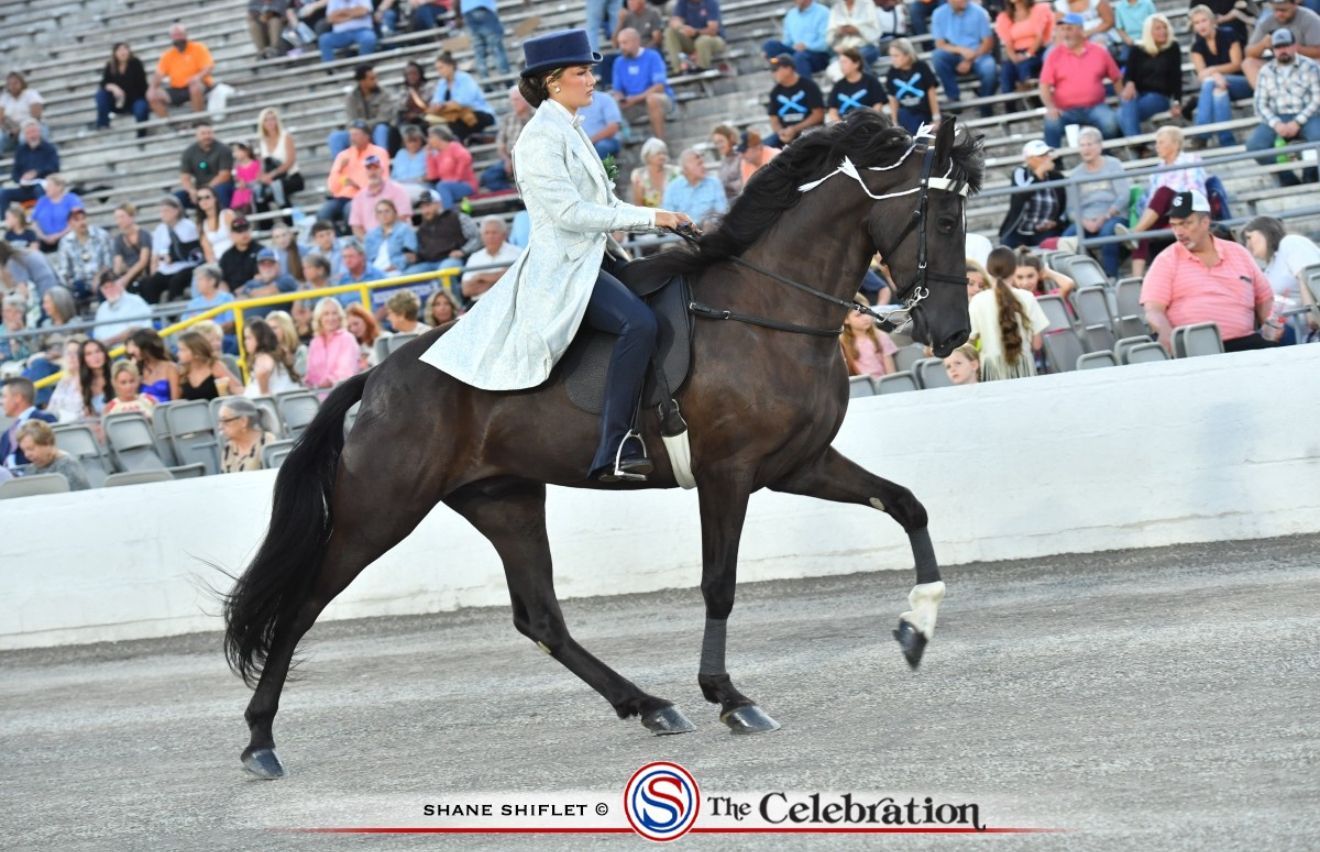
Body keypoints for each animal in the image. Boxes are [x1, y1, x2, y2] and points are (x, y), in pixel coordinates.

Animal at [224, 111, 984, 779]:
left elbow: (906, 504)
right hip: (380, 511)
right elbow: (719, 584)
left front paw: (916, 629)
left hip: (504, 500)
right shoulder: (728, 473)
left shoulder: (800, 463)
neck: (768, 309)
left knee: (542, 619)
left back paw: (647, 704)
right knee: (301, 607)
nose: (951, 334)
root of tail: (378, 377)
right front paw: (730, 697)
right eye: (944, 220)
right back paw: (260, 741)